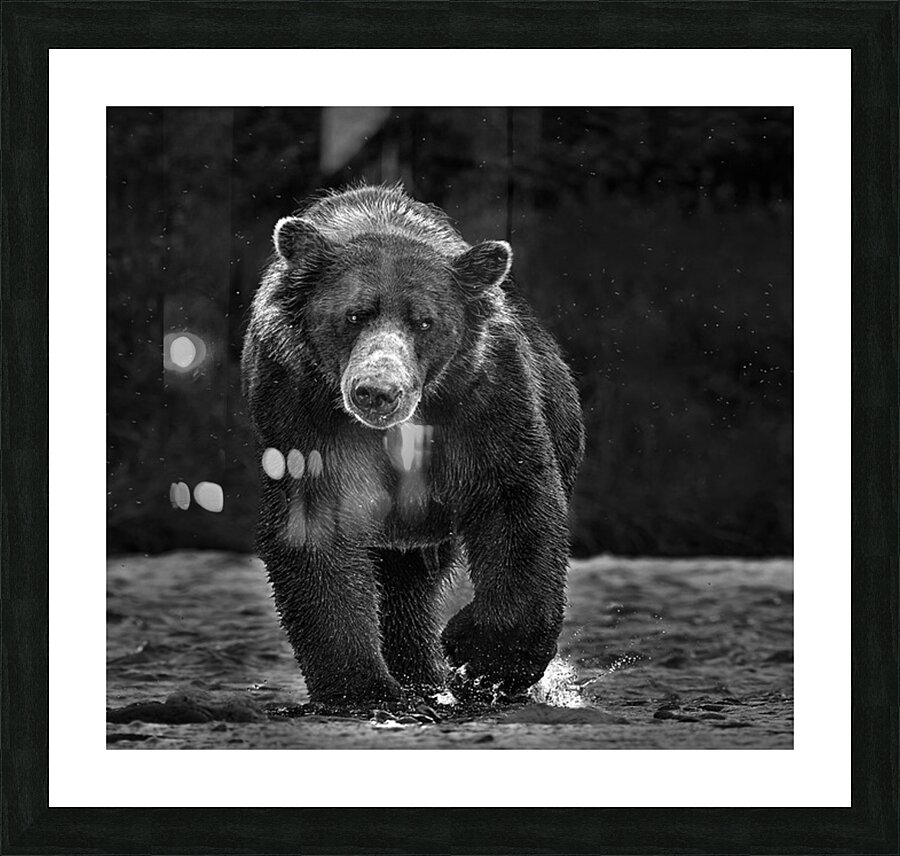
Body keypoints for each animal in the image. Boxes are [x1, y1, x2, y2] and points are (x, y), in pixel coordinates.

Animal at [241, 183, 585, 708]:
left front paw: (477, 655)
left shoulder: (481, 402)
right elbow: (317, 534)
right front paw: (365, 689)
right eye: (354, 314)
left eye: (425, 321)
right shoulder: (304, 411)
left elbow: (515, 503)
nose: (378, 391)